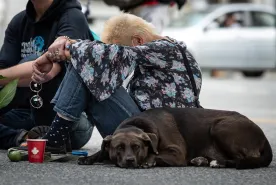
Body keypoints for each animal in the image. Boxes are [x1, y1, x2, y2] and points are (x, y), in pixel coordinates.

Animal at [77, 107, 272, 169]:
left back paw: (218, 162)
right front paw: (89, 158)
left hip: (220, 127)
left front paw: (148, 161)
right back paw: (203, 160)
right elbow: (102, 151)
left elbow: (155, 154)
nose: (130, 160)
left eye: (137, 147)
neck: (138, 124)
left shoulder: (176, 153)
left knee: (244, 159)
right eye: (119, 148)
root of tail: (263, 135)